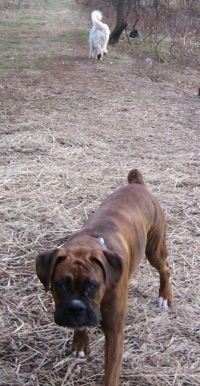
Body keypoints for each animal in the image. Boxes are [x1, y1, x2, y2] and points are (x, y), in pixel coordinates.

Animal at [36, 169, 172, 386]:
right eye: (61, 285)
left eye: (93, 285)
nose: (75, 307)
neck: (87, 244)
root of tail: (137, 184)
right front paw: (80, 342)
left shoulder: (114, 332)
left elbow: (111, 373)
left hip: (154, 249)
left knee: (165, 269)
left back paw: (165, 296)